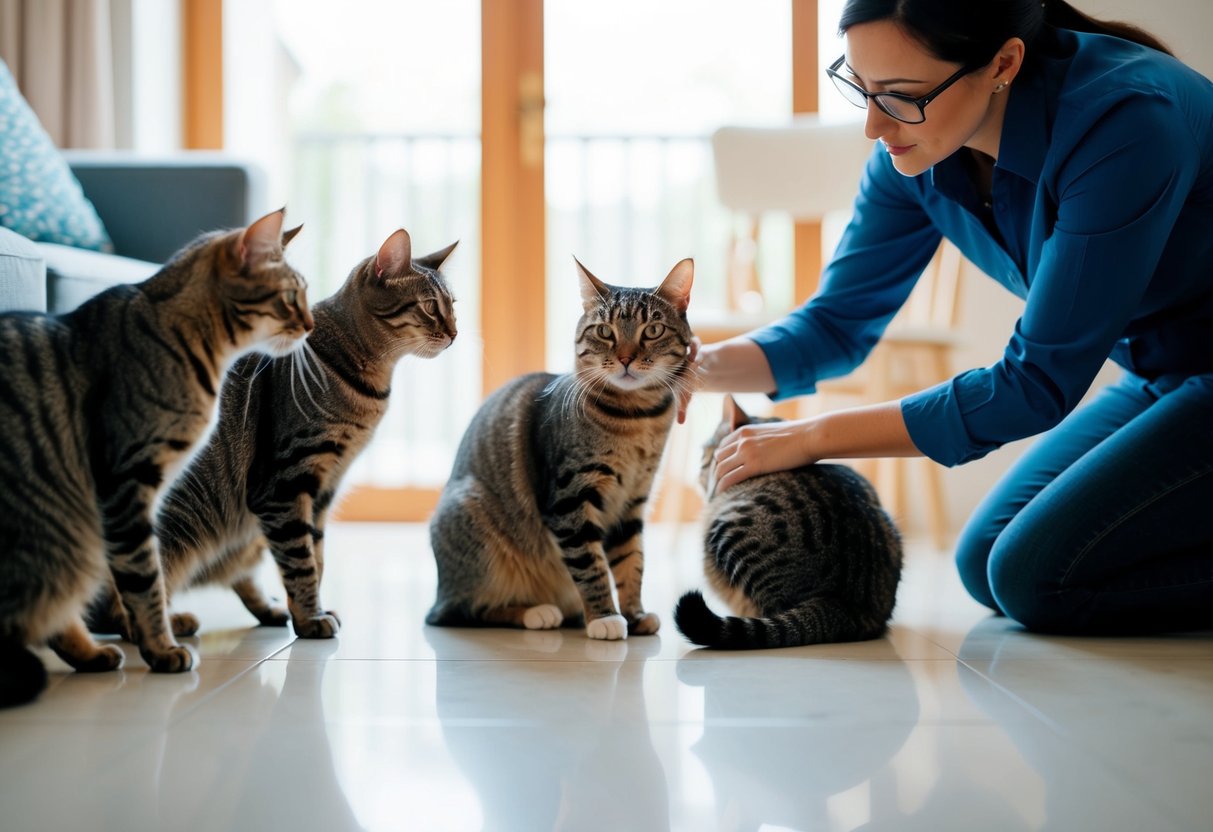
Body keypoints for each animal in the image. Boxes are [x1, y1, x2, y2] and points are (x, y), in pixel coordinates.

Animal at [1, 212, 312, 708]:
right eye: (290, 297)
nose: (311, 324)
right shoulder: (127, 486)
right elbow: (144, 578)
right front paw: (161, 647)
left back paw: (90, 654)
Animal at [90, 228, 458, 640]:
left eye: (453, 305)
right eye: (430, 307)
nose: (455, 333)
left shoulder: (323, 490)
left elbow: (316, 556)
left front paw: (309, 611)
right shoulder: (285, 483)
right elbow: (300, 561)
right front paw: (311, 619)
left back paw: (269, 609)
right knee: (119, 603)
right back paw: (163, 624)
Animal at [426, 257, 693, 640]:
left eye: (653, 330)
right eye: (605, 332)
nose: (626, 358)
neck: (637, 417)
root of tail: (439, 595)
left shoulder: (633, 500)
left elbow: (631, 561)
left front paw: (634, 614)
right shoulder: (570, 498)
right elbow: (590, 563)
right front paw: (605, 617)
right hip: (472, 521)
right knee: (469, 610)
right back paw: (536, 612)